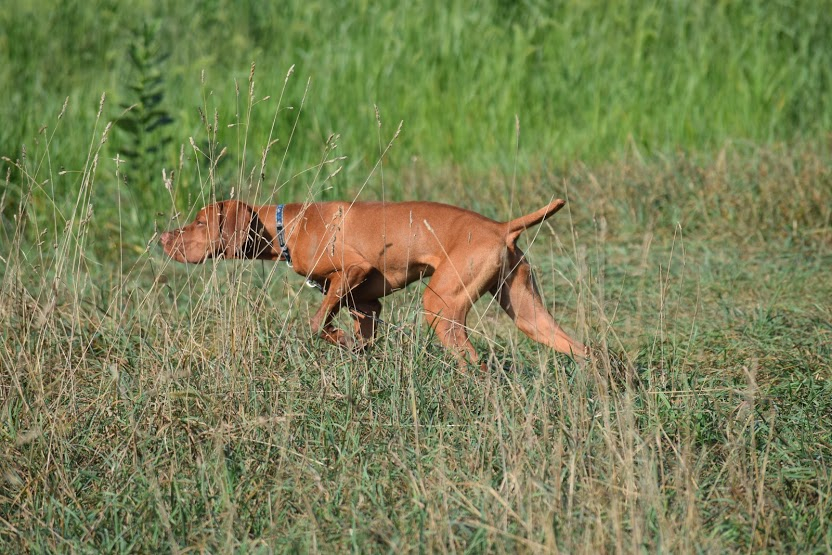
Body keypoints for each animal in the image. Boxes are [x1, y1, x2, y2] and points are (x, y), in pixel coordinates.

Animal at [158, 200, 584, 364]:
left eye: (200, 222)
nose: (162, 238)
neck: (288, 225)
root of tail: (500, 227)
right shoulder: (366, 305)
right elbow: (350, 328)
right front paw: (355, 349)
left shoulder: (353, 270)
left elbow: (317, 323)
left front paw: (342, 342)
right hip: (529, 314)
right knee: (583, 348)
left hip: (441, 305)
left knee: (474, 362)